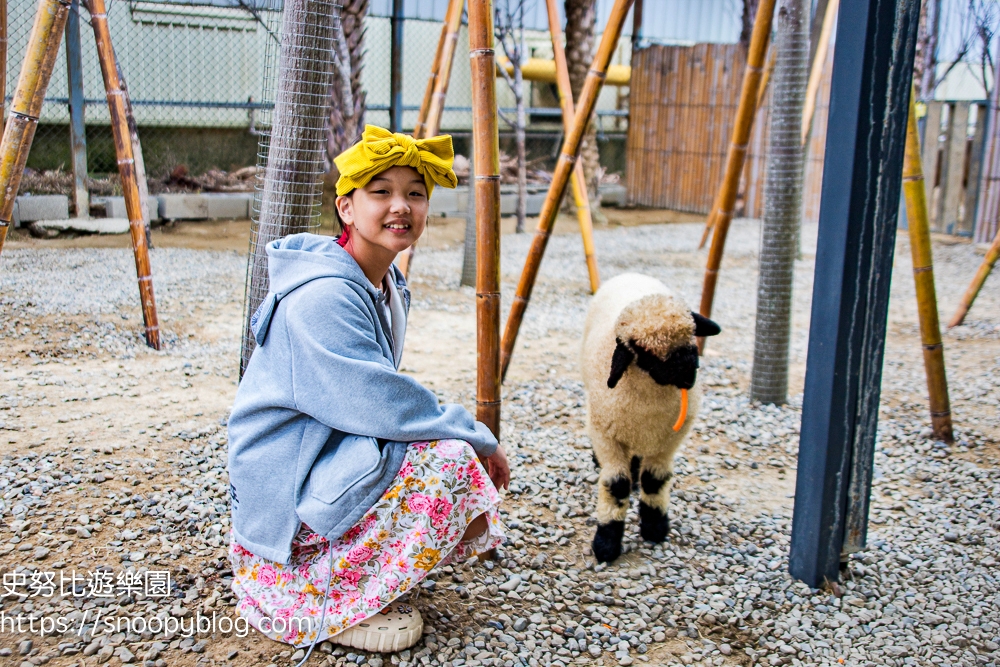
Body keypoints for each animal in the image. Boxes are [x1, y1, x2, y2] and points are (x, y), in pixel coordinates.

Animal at [580, 272, 720, 564]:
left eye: (692, 334)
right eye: (644, 352)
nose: (689, 372)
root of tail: (630, 274)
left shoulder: (668, 441)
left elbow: (655, 480)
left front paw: (655, 527)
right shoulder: (606, 434)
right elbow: (616, 485)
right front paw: (606, 543)